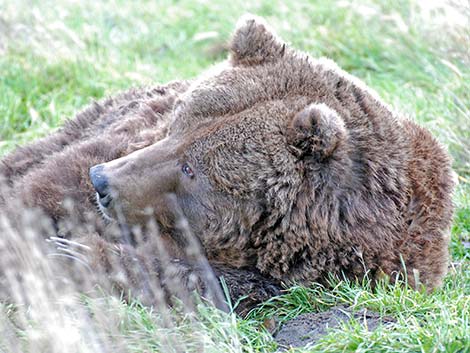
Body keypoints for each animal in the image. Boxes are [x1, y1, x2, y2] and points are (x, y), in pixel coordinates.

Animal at [0, 14, 456, 310]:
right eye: (175, 126)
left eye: (190, 168)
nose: (102, 182)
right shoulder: (121, 141)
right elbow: (42, 195)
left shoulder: (303, 279)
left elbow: (194, 282)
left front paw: (77, 255)